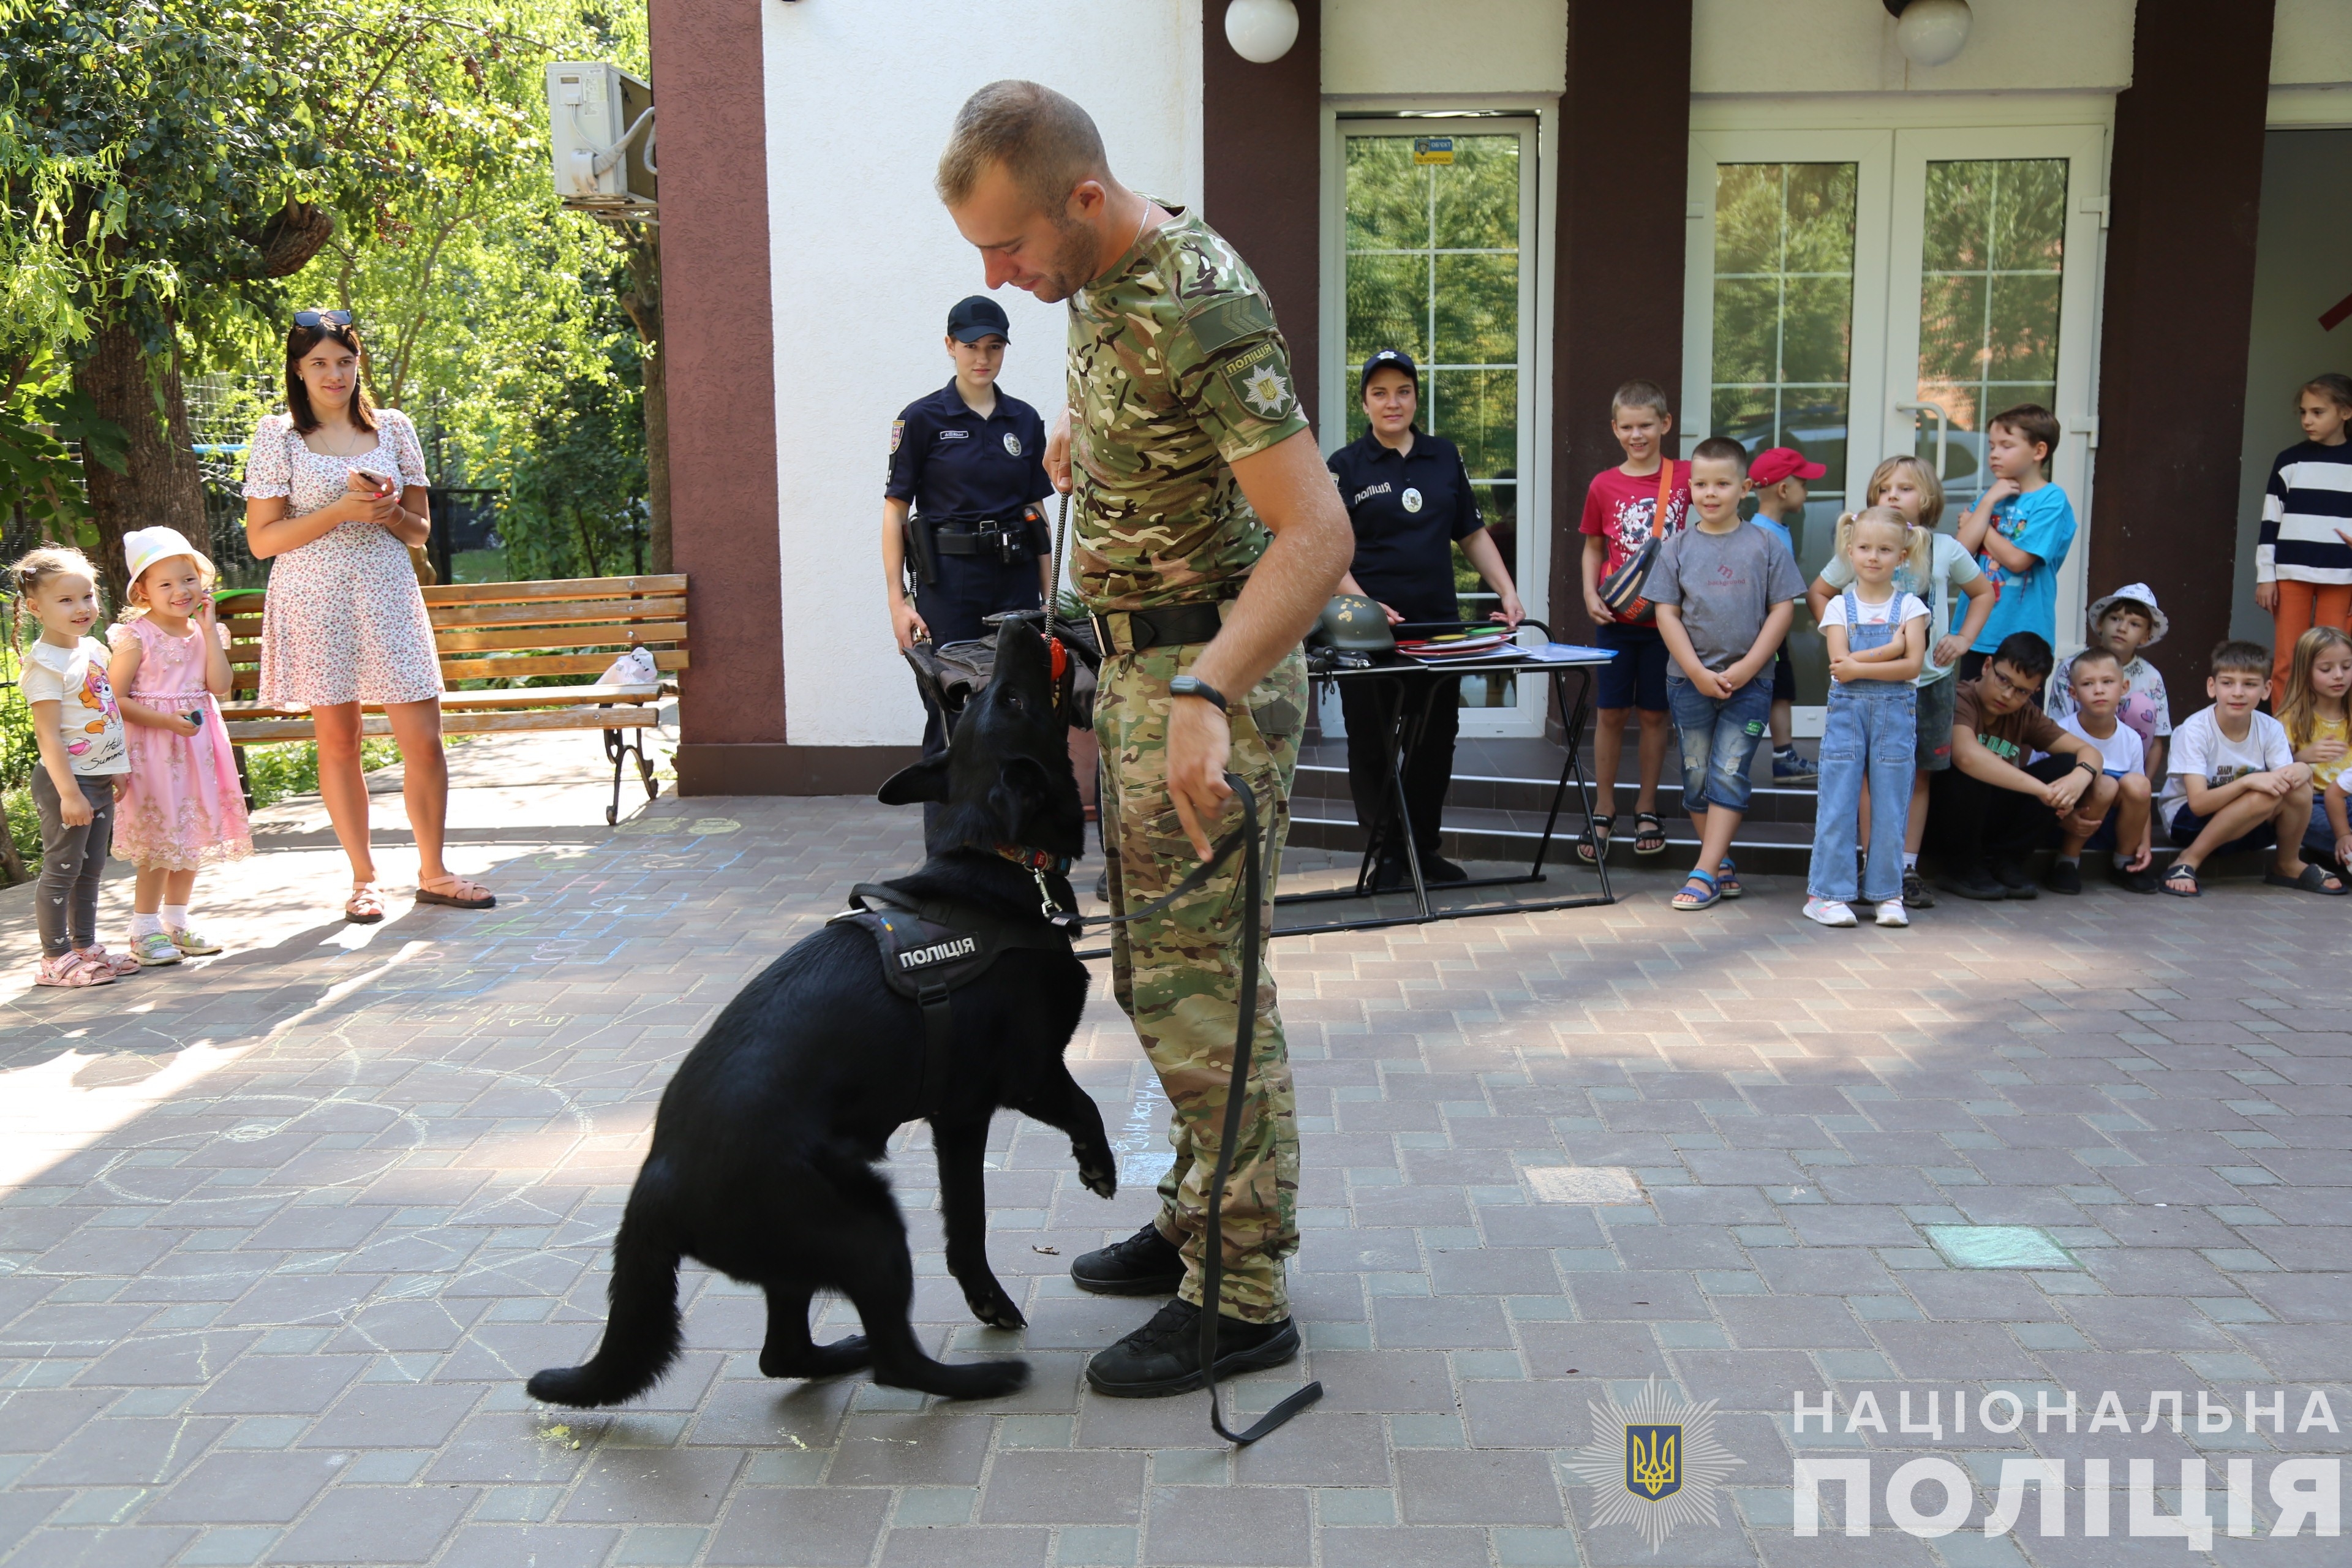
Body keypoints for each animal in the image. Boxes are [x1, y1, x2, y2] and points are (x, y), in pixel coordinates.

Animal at [529, 625, 1115, 1410]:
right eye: (1013, 699)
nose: (1020, 621)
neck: (996, 861)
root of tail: (653, 1184)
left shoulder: (958, 1119)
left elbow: (967, 1225)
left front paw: (987, 1298)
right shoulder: (1026, 1075)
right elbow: (1085, 1106)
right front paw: (1099, 1164)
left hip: (810, 1243)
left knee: (783, 1354)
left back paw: (846, 1351)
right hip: (867, 1223)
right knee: (894, 1362)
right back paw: (973, 1378)